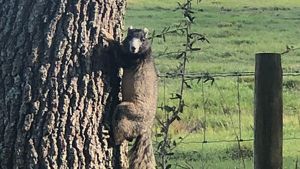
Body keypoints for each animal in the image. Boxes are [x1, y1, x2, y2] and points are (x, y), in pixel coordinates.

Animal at [100, 26, 157, 169]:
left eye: (143, 38)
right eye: (129, 36)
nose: (133, 48)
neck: (143, 52)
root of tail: (145, 129)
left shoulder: (131, 60)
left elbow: (120, 57)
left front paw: (107, 35)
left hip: (127, 112)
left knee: (119, 139)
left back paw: (109, 135)